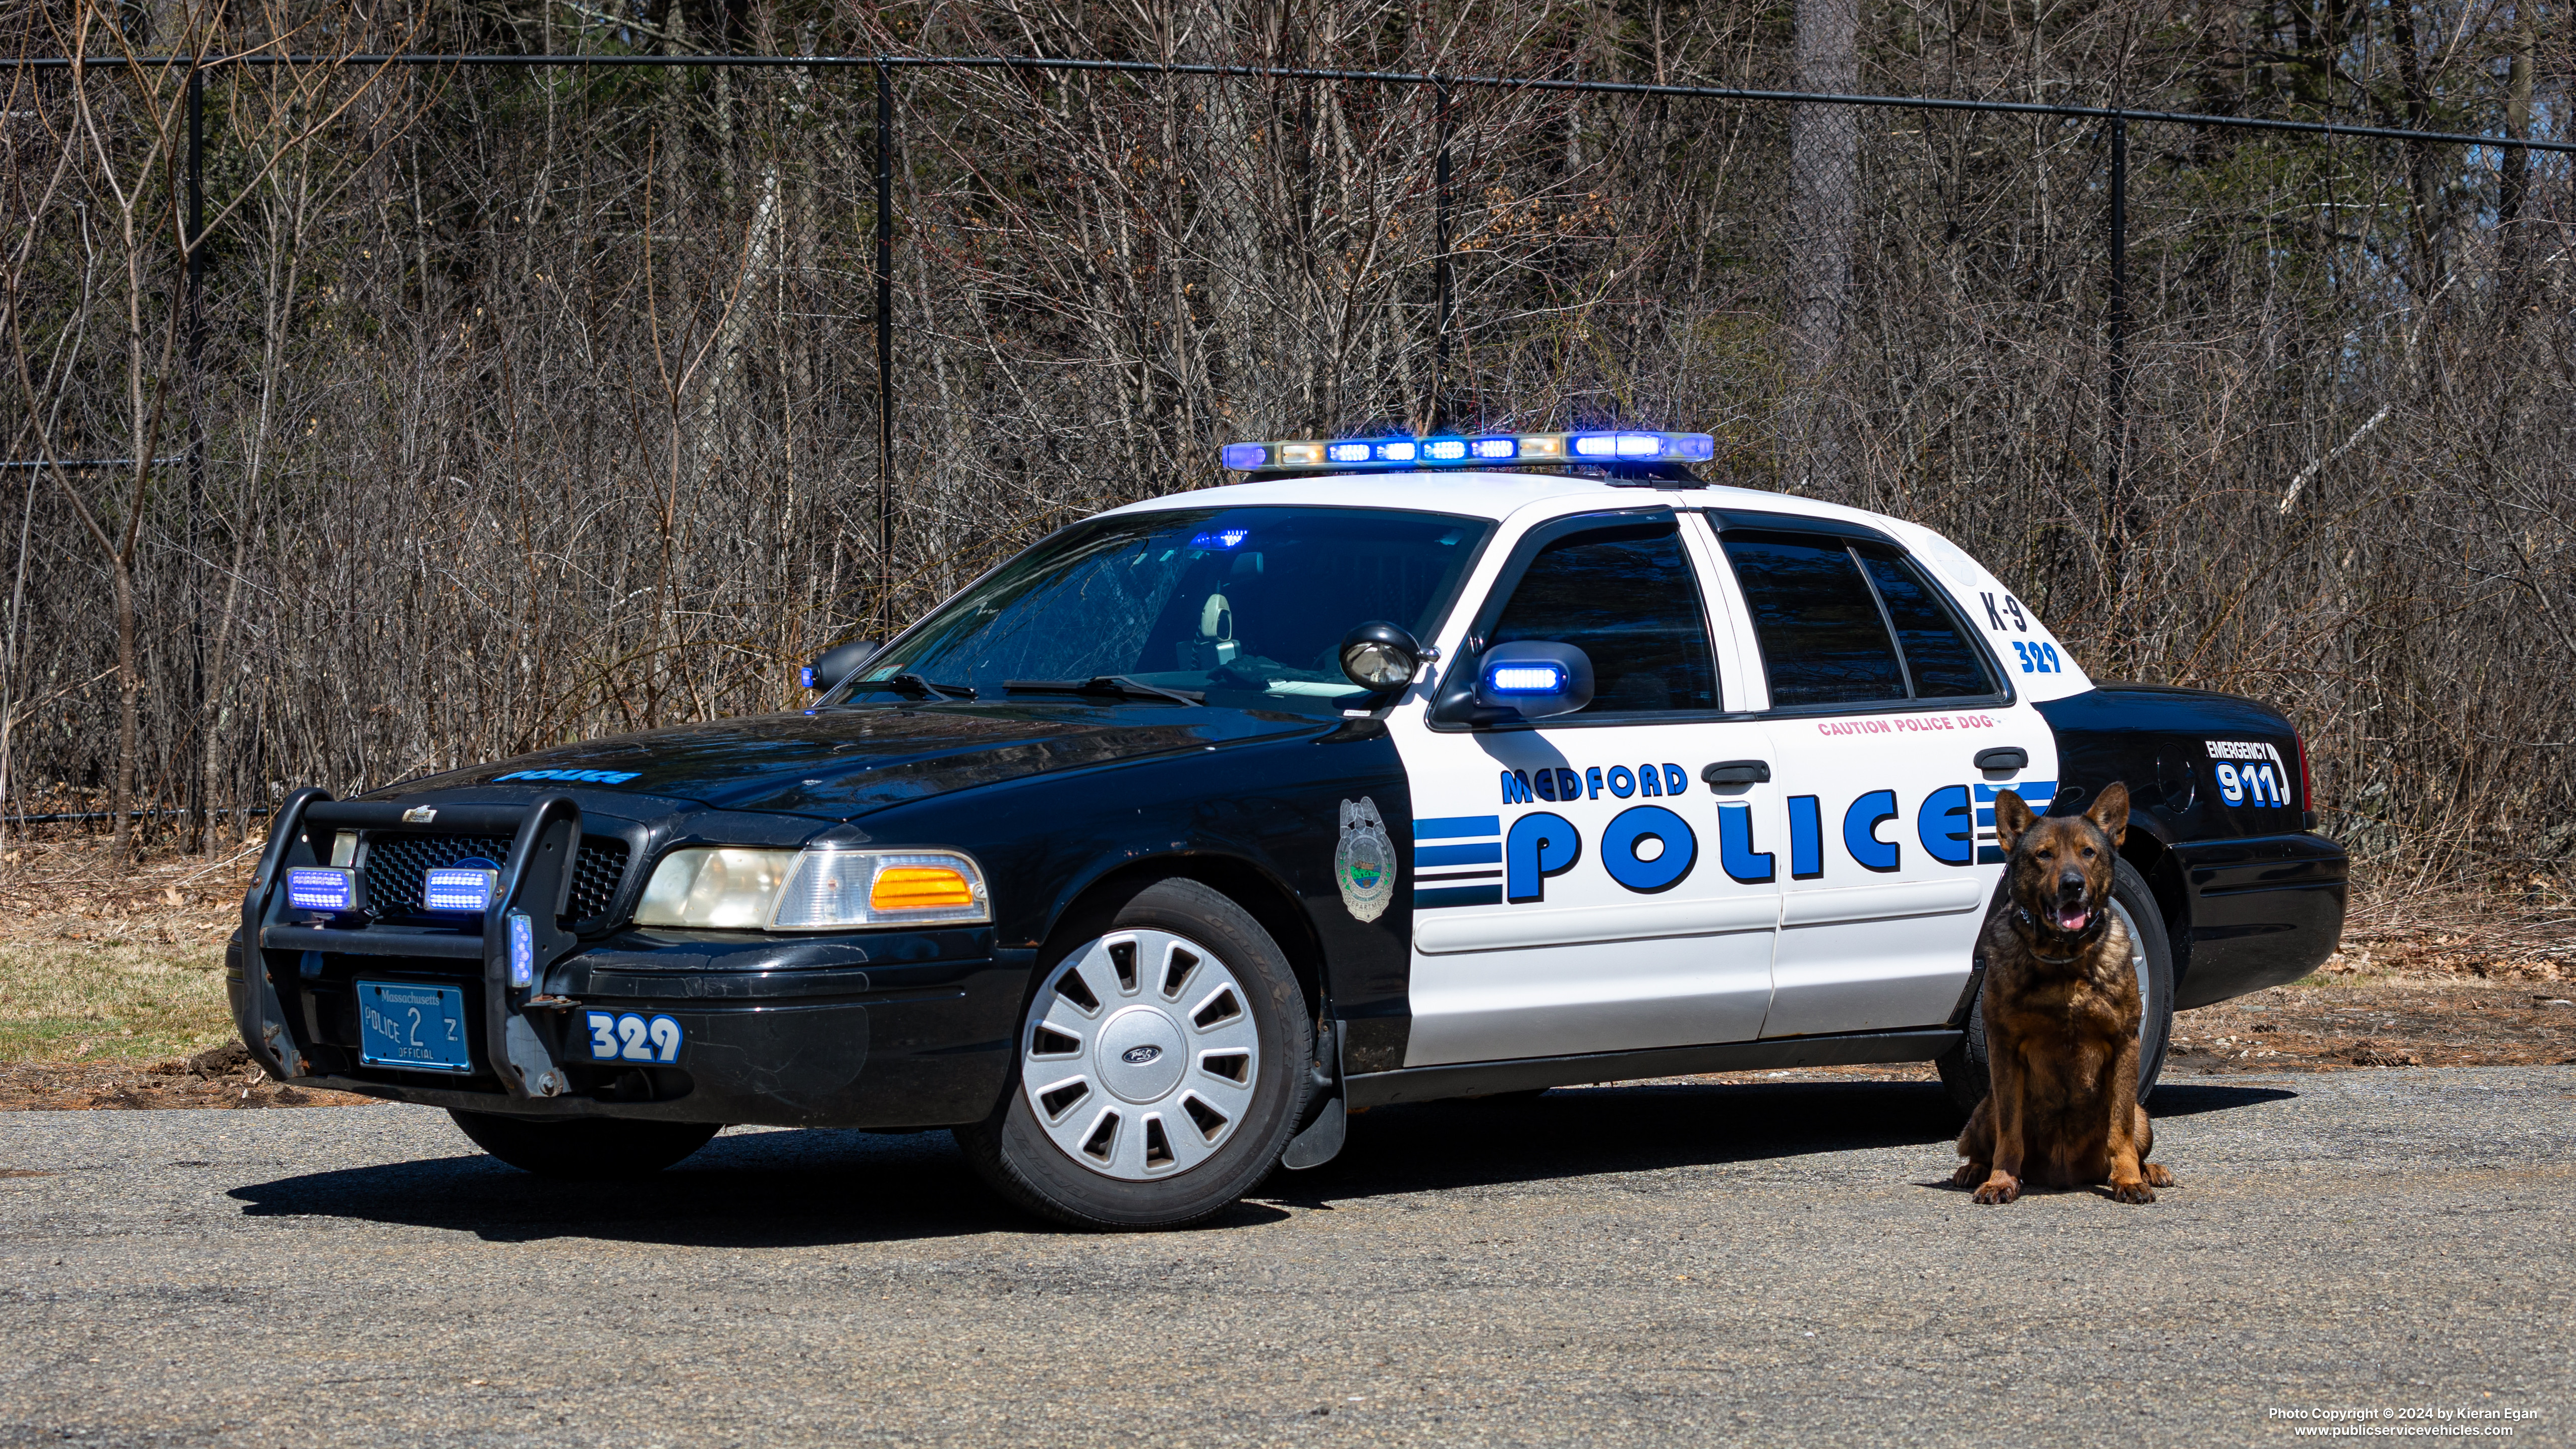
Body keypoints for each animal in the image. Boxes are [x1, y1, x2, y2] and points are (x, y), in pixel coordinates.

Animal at [1947, 787, 2174, 1209]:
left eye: (2088, 852)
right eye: (2044, 854)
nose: (2072, 884)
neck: (2064, 959)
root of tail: (2064, 1174)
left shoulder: (2124, 1043)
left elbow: (2119, 1130)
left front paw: (2129, 1179)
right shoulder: (2003, 1048)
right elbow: (2009, 1132)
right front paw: (2000, 1180)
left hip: (2143, 1117)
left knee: (2132, 1139)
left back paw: (2148, 1169)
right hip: (1983, 1110)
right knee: (1980, 1145)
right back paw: (1974, 1170)